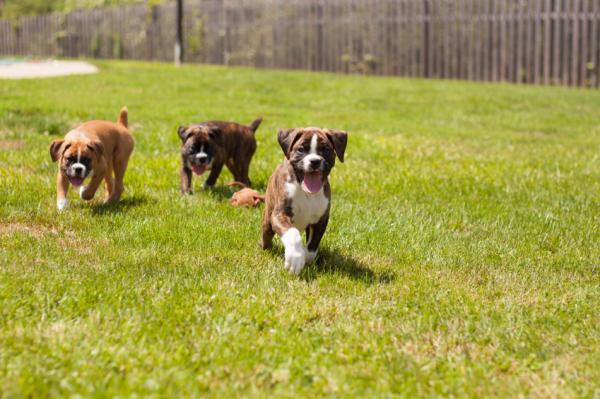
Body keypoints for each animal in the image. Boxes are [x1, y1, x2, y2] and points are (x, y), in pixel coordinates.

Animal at [262, 127, 346, 276]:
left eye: (325, 149)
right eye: (301, 149)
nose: (315, 161)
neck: (306, 192)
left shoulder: (320, 220)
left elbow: (313, 245)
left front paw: (306, 258)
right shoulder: (280, 215)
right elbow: (293, 233)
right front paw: (295, 258)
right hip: (268, 219)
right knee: (267, 234)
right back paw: (266, 247)